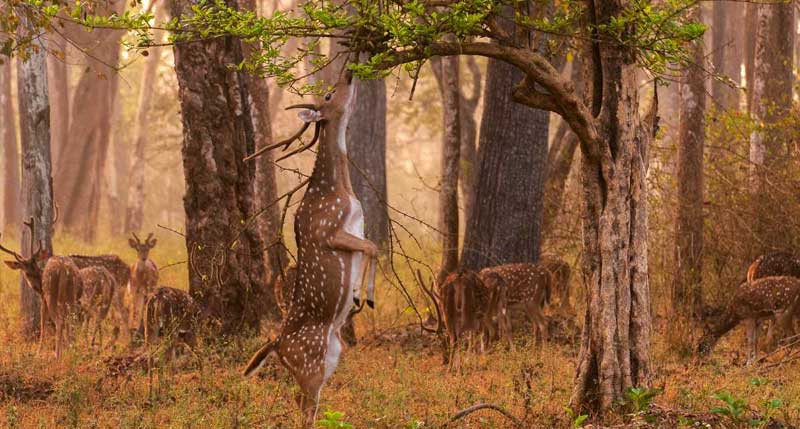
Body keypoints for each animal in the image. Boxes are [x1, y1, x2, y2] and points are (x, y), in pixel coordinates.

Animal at [241, 70, 378, 424]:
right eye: (328, 95)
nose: (350, 73)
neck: (340, 190)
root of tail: (275, 344)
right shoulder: (328, 230)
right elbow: (372, 247)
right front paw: (364, 296)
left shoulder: (356, 228)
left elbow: (370, 247)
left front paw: (357, 294)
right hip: (310, 363)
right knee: (304, 405)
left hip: (331, 357)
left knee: (301, 401)